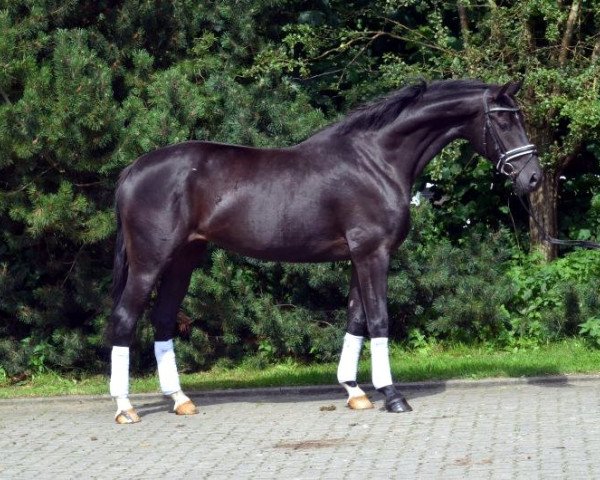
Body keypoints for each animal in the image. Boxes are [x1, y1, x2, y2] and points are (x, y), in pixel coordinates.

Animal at [109, 79, 544, 424]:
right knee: (125, 319)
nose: (534, 178)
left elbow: (356, 319)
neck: (376, 160)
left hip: (184, 258)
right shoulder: (373, 253)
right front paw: (393, 396)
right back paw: (125, 407)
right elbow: (379, 320)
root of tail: (133, 169)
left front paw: (355, 391)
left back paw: (180, 400)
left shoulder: (357, 257)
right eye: (504, 121)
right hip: (151, 262)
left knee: (163, 319)